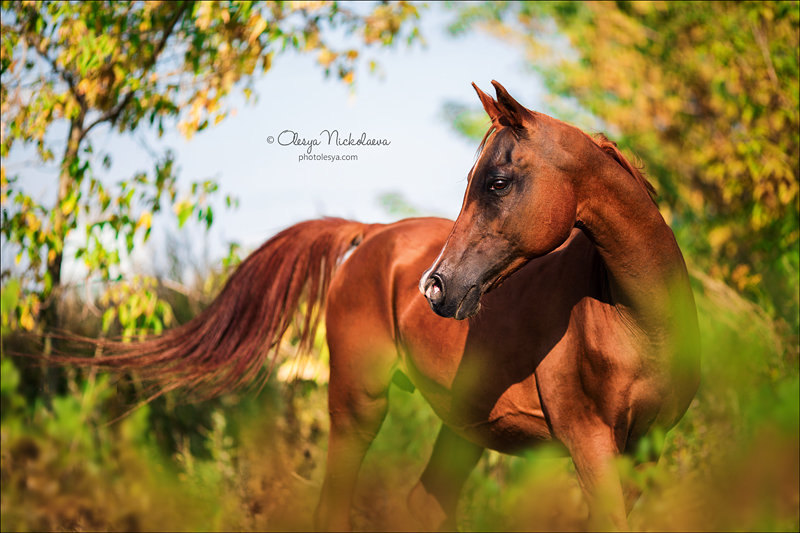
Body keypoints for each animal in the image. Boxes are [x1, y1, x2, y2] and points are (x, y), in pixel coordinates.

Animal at [47, 81, 700, 528]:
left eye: (496, 183)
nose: (436, 288)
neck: (631, 319)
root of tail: (373, 233)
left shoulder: (643, 451)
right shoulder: (591, 445)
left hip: (463, 427)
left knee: (426, 503)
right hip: (357, 406)